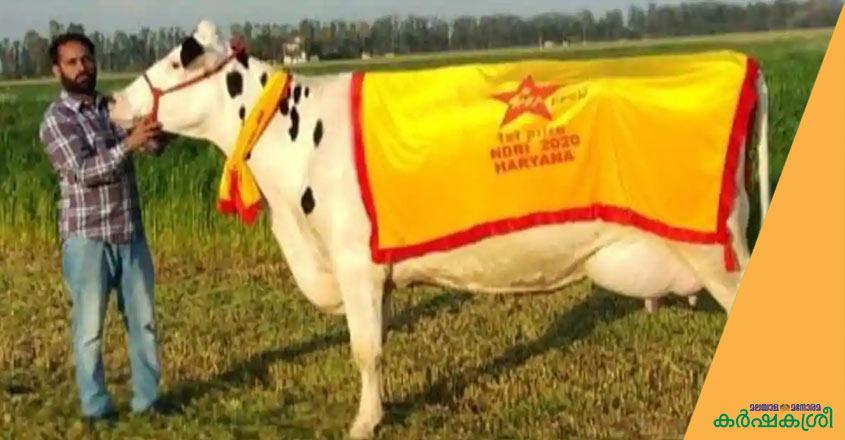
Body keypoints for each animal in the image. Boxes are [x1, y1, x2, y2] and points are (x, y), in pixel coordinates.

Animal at [109, 20, 770, 438]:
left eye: (173, 60)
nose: (112, 103)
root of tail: (741, 61)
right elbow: (377, 346)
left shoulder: (355, 262)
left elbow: (365, 349)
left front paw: (362, 423)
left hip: (717, 251)